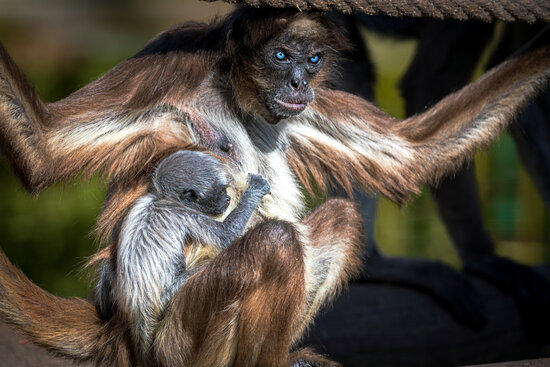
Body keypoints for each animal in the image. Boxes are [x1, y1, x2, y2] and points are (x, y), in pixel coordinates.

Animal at [0, 5, 550, 367]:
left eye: (311, 61)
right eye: (281, 56)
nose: (299, 84)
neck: (236, 96)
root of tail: (119, 332)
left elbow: (411, 153)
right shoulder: (170, 67)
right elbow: (45, 146)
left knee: (338, 219)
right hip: (180, 342)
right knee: (276, 243)